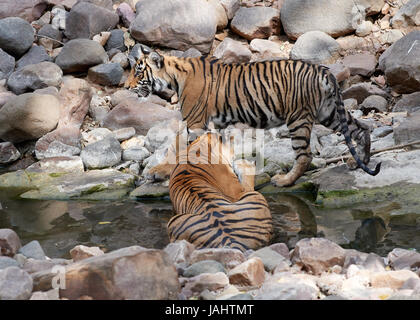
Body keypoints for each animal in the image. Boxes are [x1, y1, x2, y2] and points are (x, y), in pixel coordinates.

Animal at [124, 43, 380, 186]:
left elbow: (180, 150)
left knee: (305, 156)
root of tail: (323, 70)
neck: (175, 77)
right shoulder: (214, 124)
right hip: (329, 112)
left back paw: (284, 181)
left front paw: (158, 173)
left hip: (298, 118)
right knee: (362, 128)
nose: (125, 87)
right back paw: (360, 161)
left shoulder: (195, 123)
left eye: (138, 72)